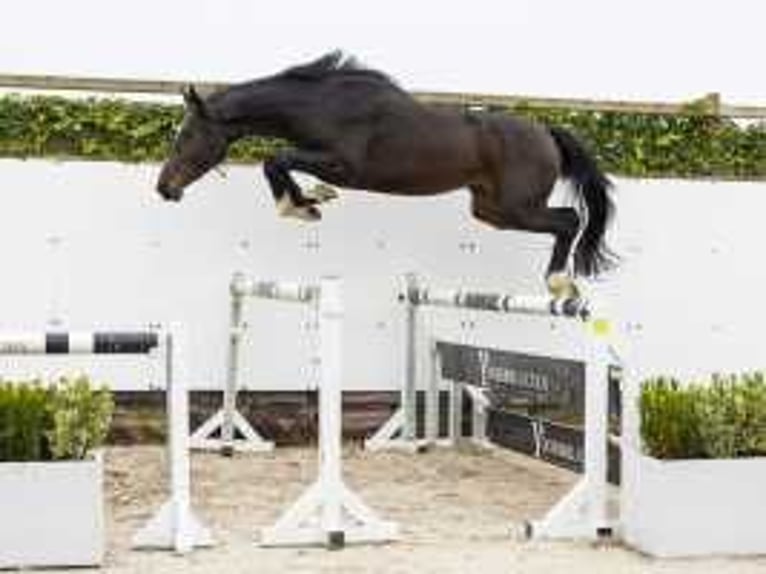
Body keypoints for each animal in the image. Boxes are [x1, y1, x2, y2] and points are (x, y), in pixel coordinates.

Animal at [158, 52, 616, 296]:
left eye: (187, 137)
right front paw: (312, 200)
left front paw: (303, 205)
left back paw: (559, 282)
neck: (319, 105)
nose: (164, 188)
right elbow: (281, 162)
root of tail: (546, 132)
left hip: (517, 206)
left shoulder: (347, 167)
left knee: (569, 220)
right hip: (491, 210)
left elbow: (278, 159)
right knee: (563, 220)